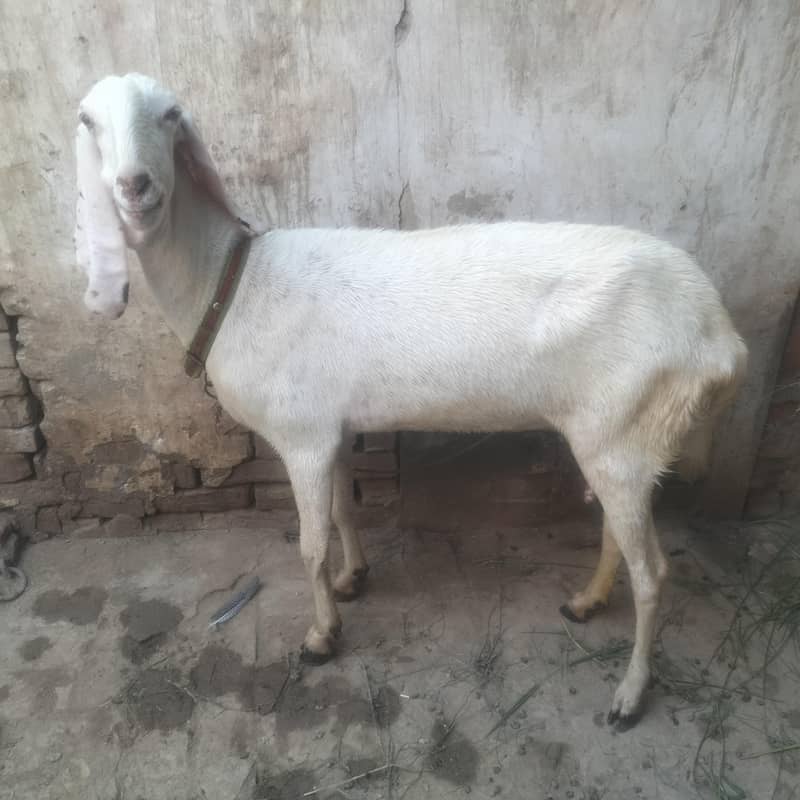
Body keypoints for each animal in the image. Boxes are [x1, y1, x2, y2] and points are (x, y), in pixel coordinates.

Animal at [74, 73, 747, 728]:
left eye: (170, 114)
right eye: (88, 119)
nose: (135, 186)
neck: (230, 284)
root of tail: (720, 335)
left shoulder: (301, 434)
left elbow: (310, 544)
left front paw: (322, 637)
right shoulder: (334, 427)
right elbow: (345, 511)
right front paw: (353, 579)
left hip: (631, 423)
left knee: (654, 573)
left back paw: (629, 695)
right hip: (617, 434)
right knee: (618, 530)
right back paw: (586, 603)